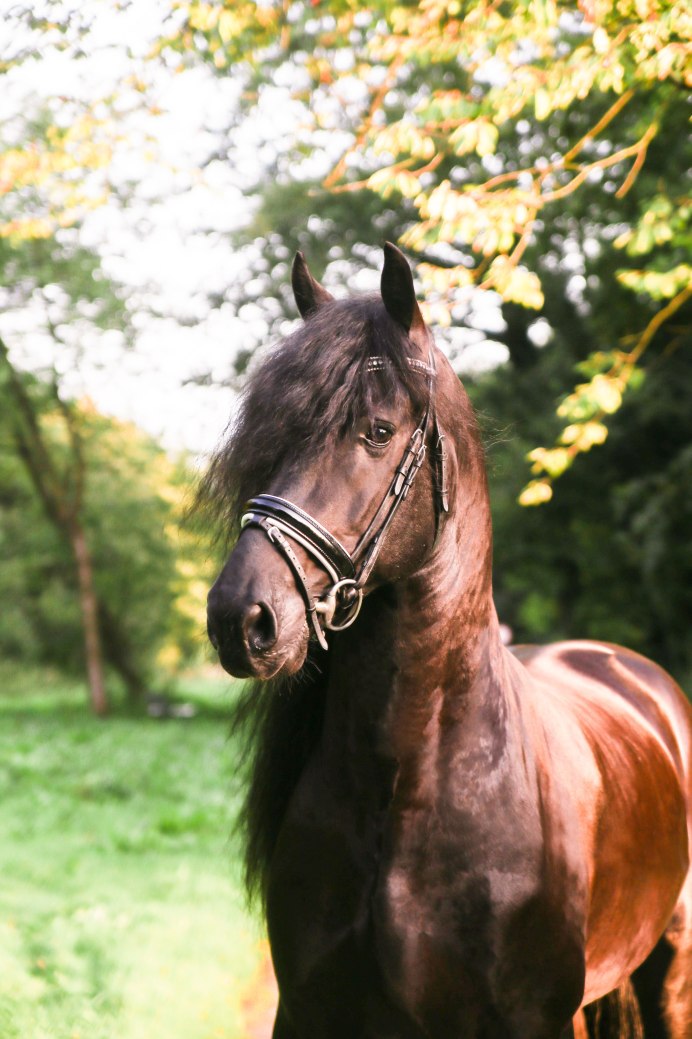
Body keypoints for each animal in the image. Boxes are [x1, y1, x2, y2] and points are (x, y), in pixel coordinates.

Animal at [205, 243, 692, 1038]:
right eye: (270, 438)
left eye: (376, 430)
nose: (239, 617)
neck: (404, 788)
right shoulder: (309, 1013)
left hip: (668, 973)